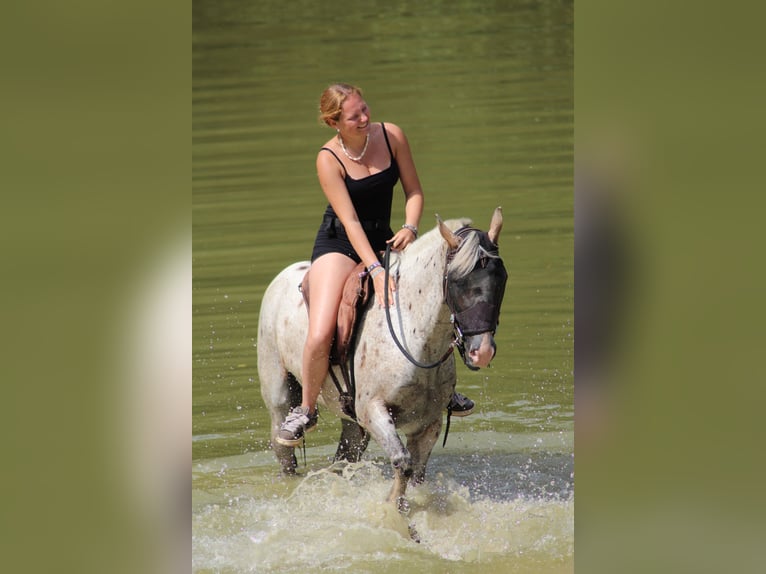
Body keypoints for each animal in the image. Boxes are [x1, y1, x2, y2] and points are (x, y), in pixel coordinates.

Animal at [258, 207, 510, 508]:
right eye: (459, 282)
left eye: (502, 279)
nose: (481, 352)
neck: (415, 337)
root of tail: (284, 276)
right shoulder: (374, 411)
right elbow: (403, 463)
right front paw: (392, 507)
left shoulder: (429, 423)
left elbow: (417, 472)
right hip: (280, 400)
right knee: (285, 454)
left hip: (351, 421)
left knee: (345, 457)